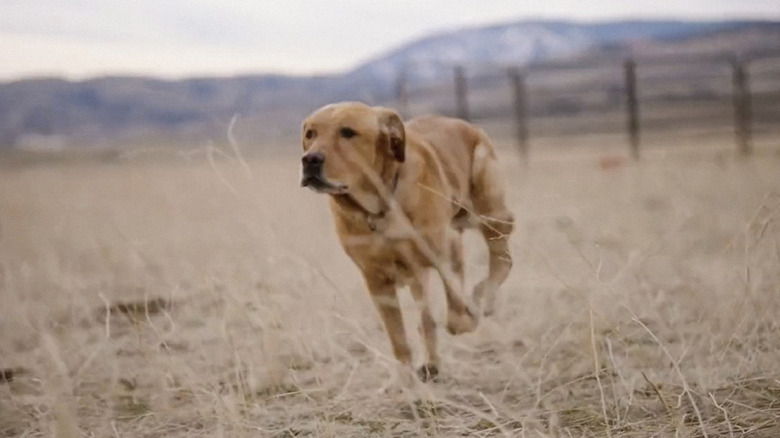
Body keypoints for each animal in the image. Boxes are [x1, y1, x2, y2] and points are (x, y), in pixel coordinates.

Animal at [302, 101, 516, 382]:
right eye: (310, 134)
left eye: (347, 132)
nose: (309, 160)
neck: (379, 208)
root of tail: (464, 124)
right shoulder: (377, 280)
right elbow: (399, 336)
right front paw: (407, 378)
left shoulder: (442, 251)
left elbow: (450, 314)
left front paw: (468, 316)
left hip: (490, 213)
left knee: (502, 259)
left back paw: (484, 297)